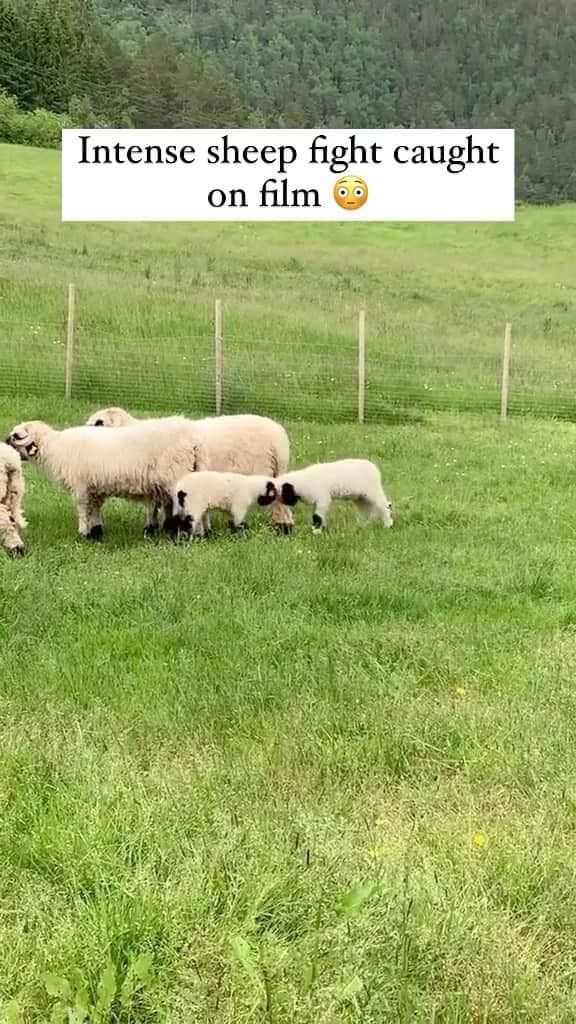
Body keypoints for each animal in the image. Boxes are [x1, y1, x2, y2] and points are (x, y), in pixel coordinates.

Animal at [6, 418, 207, 541]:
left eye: (16, 436)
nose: (4, 443)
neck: (55, 447)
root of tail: (194, 439)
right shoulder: (94, 487)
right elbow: (94, 509)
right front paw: (96, 532)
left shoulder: (81, 486)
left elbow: (82, 510)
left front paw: (82, 533)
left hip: (176, 477)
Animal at [86, 406, 293, 535]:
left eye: (99, 422)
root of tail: (278, 439)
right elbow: (163, 506)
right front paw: (163, 527)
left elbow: (154, 507)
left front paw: (154, 529)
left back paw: (281, 528)